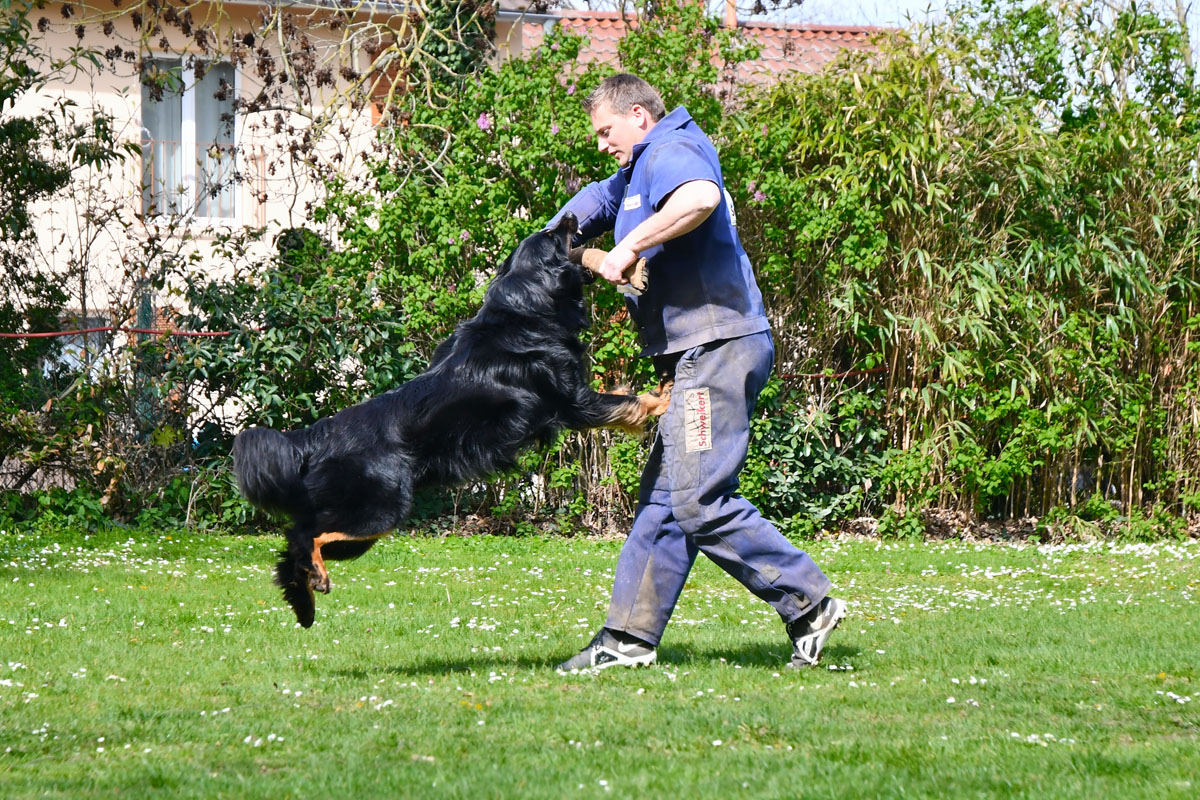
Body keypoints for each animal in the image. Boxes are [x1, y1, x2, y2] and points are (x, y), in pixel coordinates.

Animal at [229, 215, 672, 628]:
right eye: (553, 236)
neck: (526, 309)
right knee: (307, 536)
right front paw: (661, 399)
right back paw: (315, 579)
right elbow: (625, 403)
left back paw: (304, 604)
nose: (567, 218)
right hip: (381, 510)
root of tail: (312, 438)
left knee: (291, 549)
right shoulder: (574, 401)